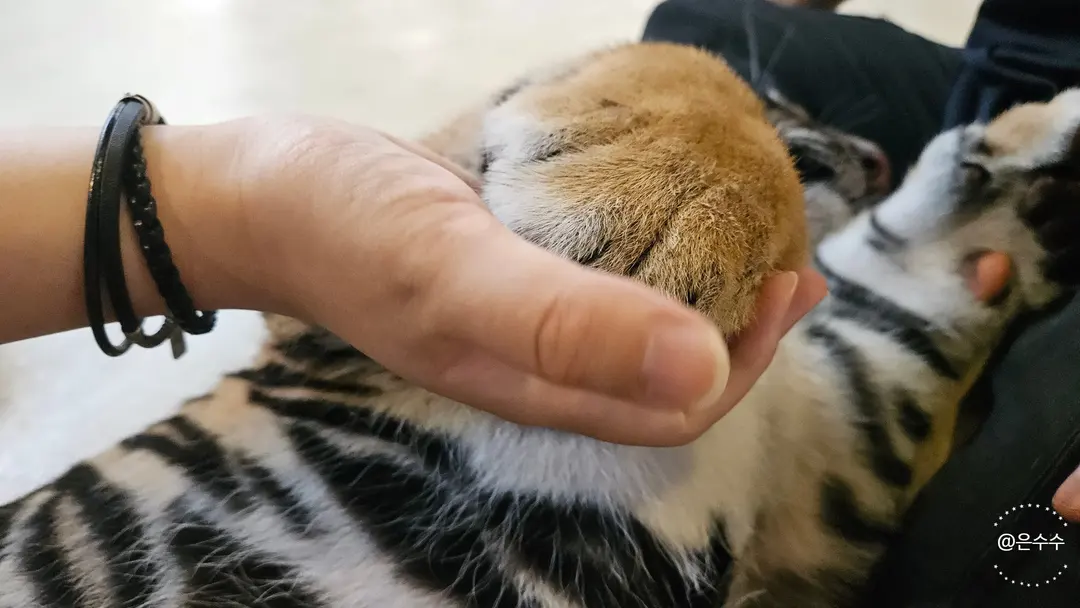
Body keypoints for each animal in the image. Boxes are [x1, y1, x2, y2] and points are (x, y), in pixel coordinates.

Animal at [1, 42, 1079, 608]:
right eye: (785, 99)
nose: (878, 158)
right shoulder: (315, 318)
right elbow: (684, 60)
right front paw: (661, 197)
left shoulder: (823, 463)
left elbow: (891, 297)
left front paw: (1028, 159)